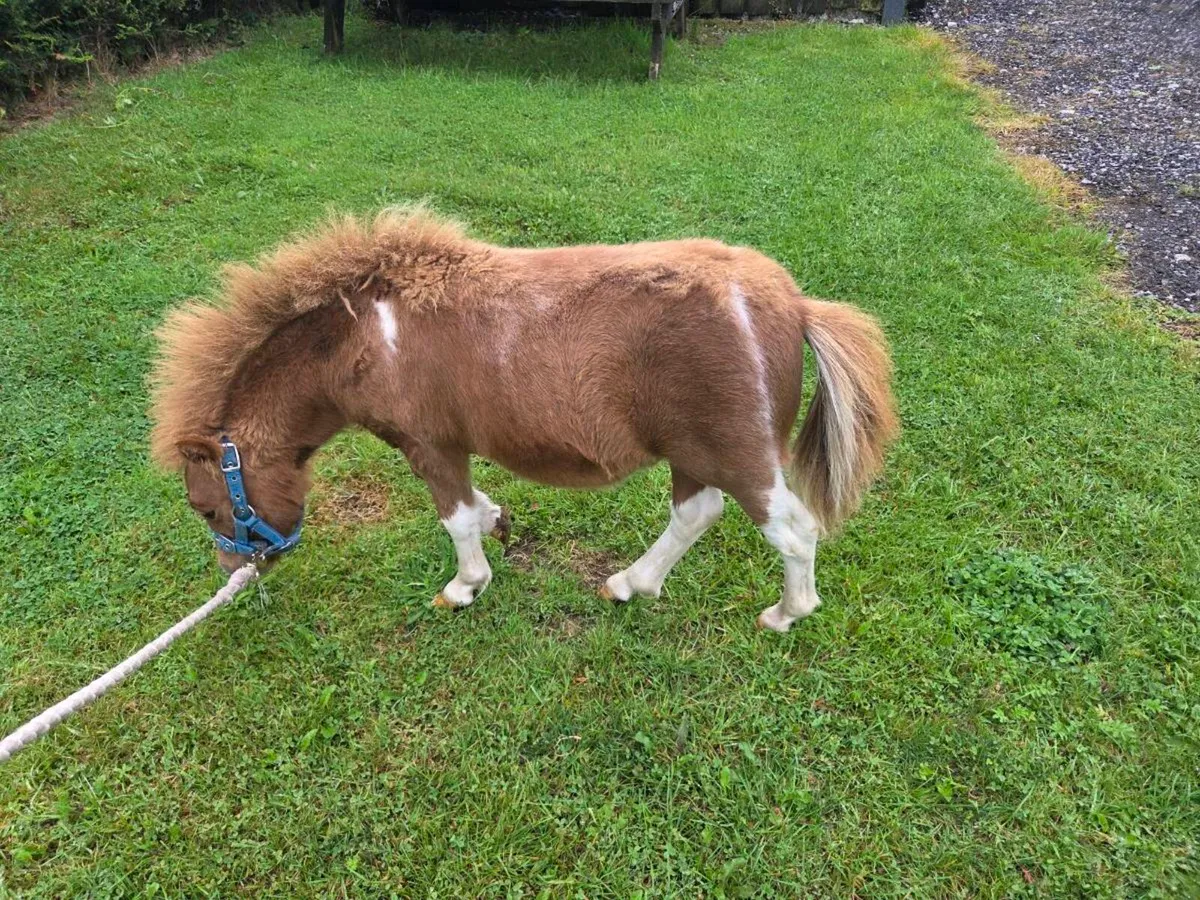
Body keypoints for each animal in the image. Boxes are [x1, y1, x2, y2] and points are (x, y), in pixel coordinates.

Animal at [149, 208, 898, 633]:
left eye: (207, 508)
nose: (236, 575)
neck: (368, 334)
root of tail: (794, 306)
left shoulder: (429, 445)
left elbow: (454, 518)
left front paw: (463, 587)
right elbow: (477, 509)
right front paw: (498, 523)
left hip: (741, 457)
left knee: (793, 531)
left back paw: (784, 615)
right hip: (694, 453)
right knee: (695, 514)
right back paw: (630, 584)